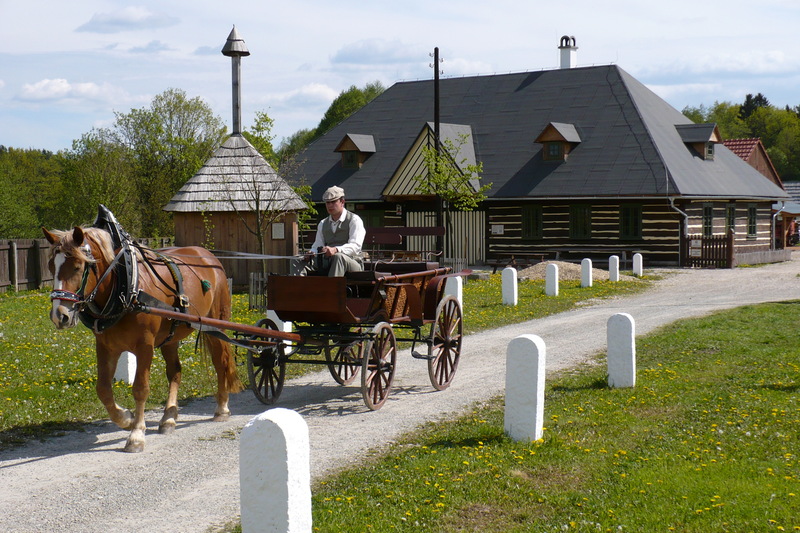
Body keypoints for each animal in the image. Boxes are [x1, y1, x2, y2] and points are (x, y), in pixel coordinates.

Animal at [42, 224, 242, 454]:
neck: (125, 288)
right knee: (175, 371)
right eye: (51, 266)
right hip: (171, 337)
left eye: (77, 267)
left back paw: (222, 408)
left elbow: (140, 388)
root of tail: (208, 256)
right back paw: (169, 417)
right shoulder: (106, 346)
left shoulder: (145, 346)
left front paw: (136, 434)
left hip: (216, 324)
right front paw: (126, 418)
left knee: (221, 363)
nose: (60, 316)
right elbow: (103, 389)